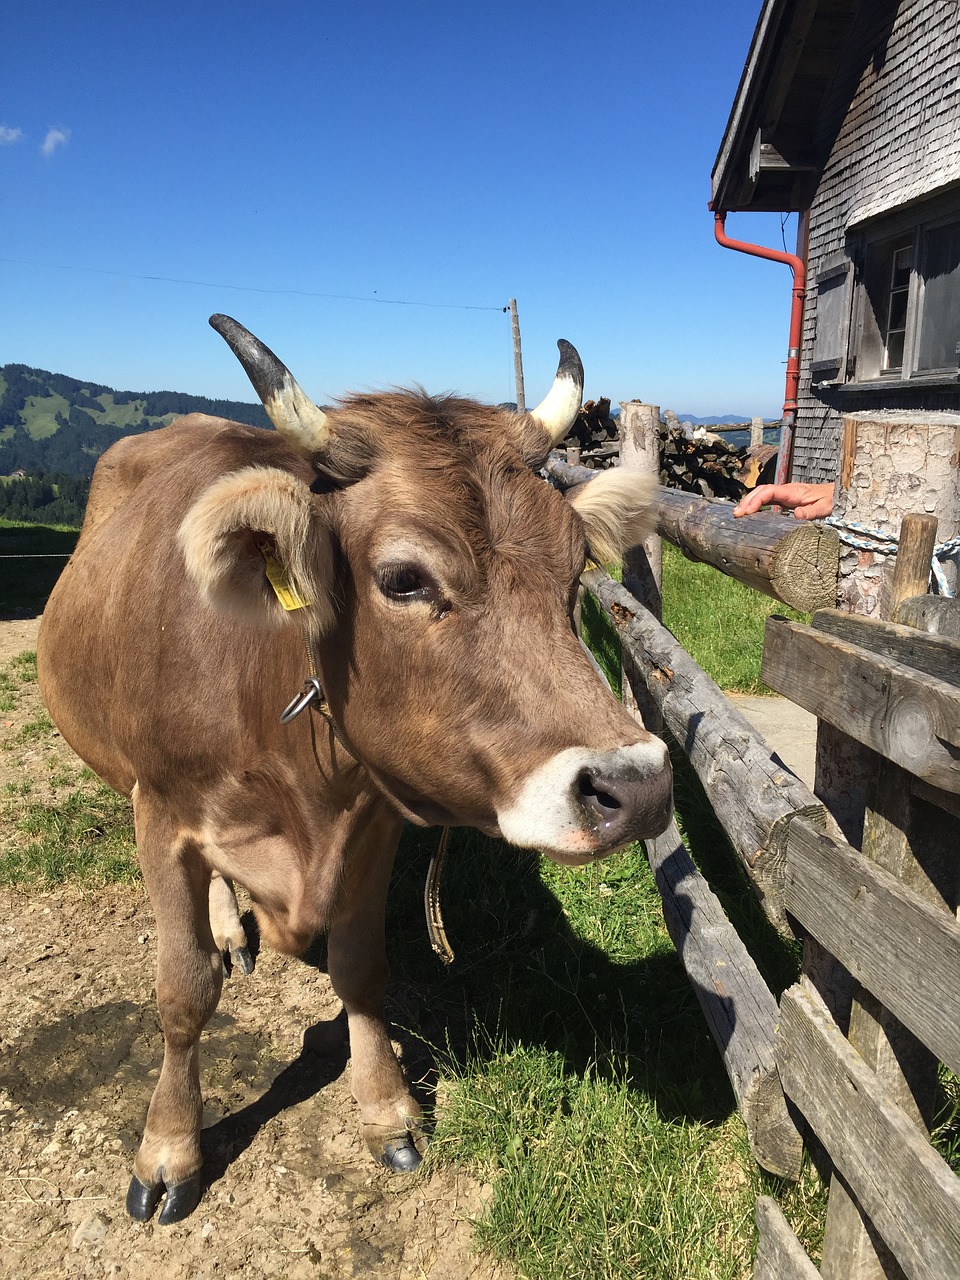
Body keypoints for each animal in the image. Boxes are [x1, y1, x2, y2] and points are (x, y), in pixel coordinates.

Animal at [35, 314, 670, 1223]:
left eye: (578, 560)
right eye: (403, 578)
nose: (638, 785)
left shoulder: (371, 821)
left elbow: (362, 970)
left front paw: (385, 1108)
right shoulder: (161, 816)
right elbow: (183, 991)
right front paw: (167, 1148)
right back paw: (227, 929)